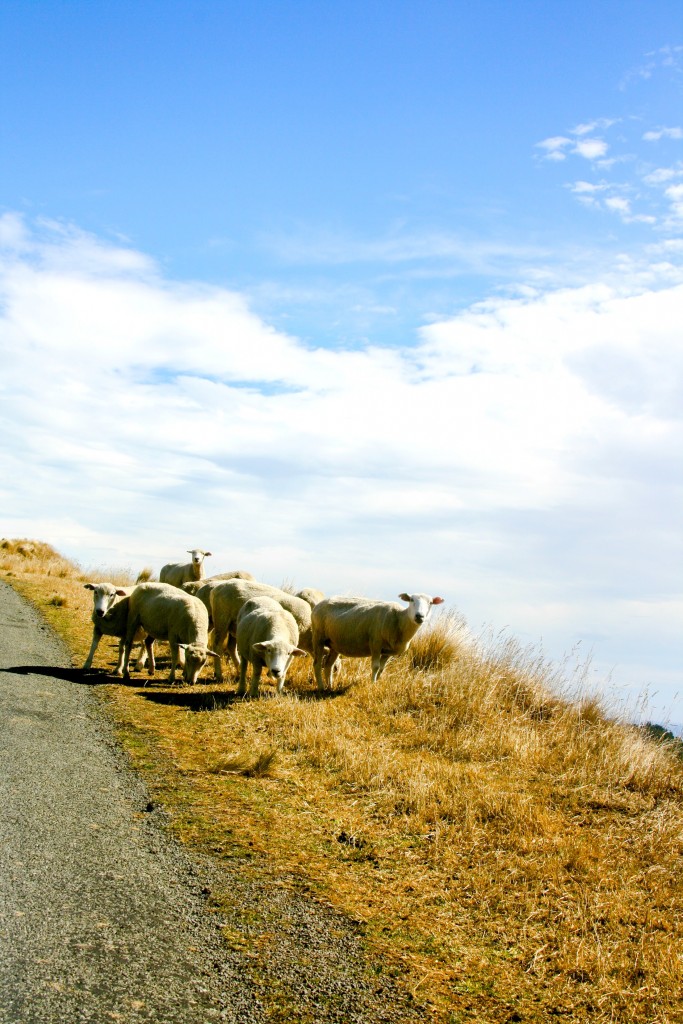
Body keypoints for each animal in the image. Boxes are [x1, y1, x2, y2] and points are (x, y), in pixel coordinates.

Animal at [312, 592, 445, 690]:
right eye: (411, 600)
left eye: (431, 603)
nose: (419, 616)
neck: (399, 620)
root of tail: (318, 605)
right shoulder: (375, 643)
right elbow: (375, 667)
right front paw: (372, 684)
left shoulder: (388, 652)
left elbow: (381, 669)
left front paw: (377, 683)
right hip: (318, 637)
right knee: (317, 664)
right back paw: (321, 687)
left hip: (334, 644)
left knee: (328, 665)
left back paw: (330, 687)